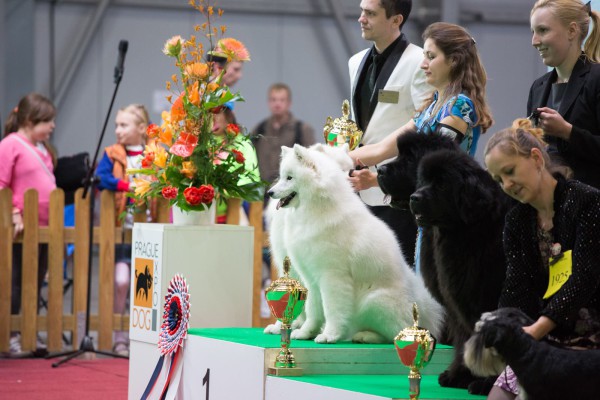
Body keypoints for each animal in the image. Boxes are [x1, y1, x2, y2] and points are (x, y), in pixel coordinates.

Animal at [264, 144, 442, 344]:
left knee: (395, 333)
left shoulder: (332, 276)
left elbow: (332, 308)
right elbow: (312, 308)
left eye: (290, 177)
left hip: (373, 301)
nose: (270, 192)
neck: (314, 208)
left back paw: (366, 336)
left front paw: (329, 335)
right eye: (282, 176)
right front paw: (305, 331)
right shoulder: (309, 276)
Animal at [408, 148, 516, 392]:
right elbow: (465, 337)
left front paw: (487, 382)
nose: (414, 197)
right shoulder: (458, 302)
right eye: (423, 180)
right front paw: (459, 375)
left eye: (441, 185)